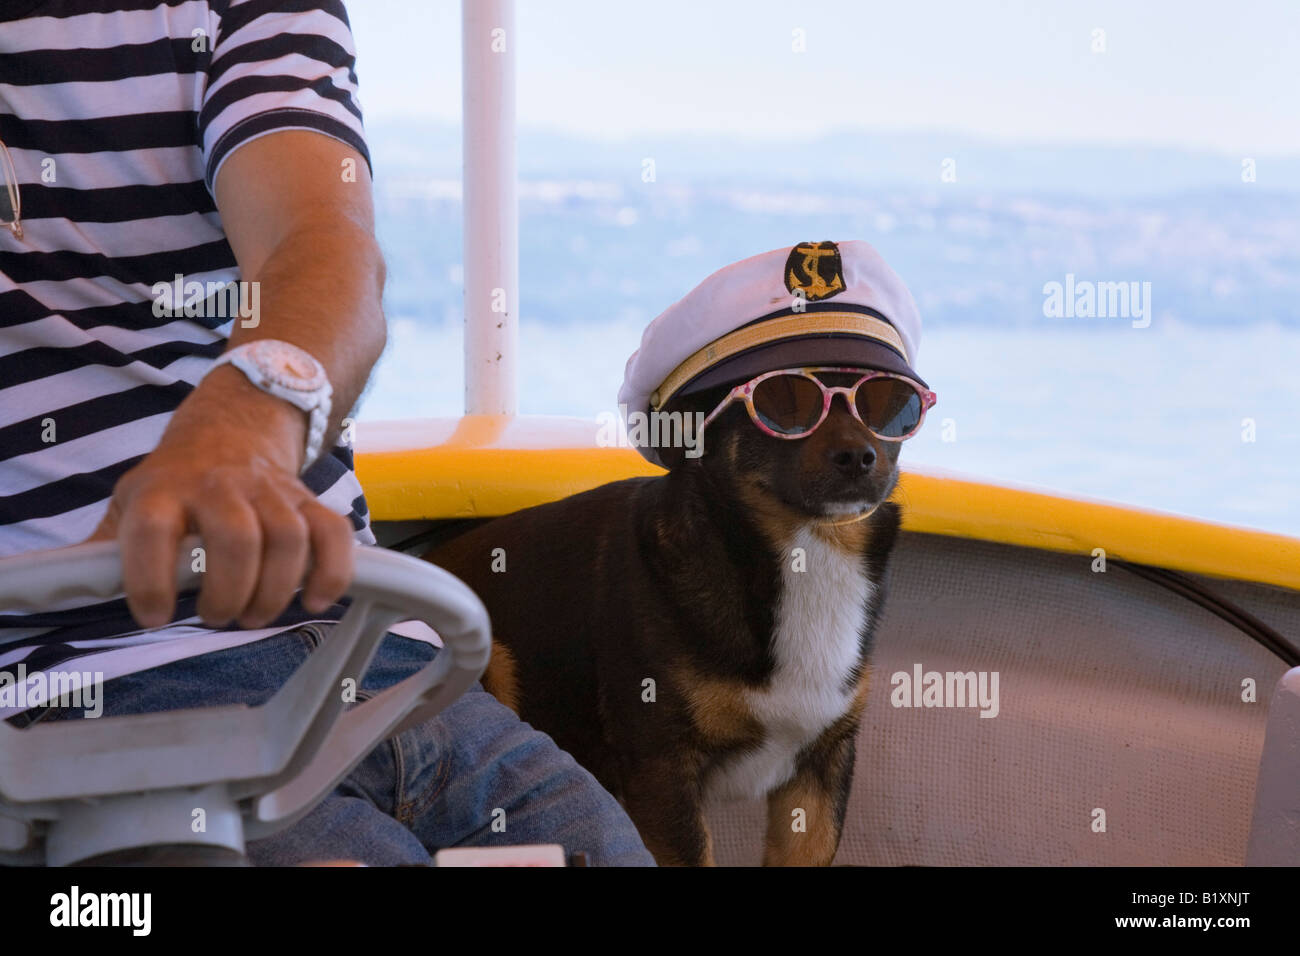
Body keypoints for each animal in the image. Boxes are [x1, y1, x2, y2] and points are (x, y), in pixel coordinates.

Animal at [421, 366, 909, 868]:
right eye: (782, 399)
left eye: (889, 402)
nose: (858, 457)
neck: (800, 551)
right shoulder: (661, 769)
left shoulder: (820, 768)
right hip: (492, 660)